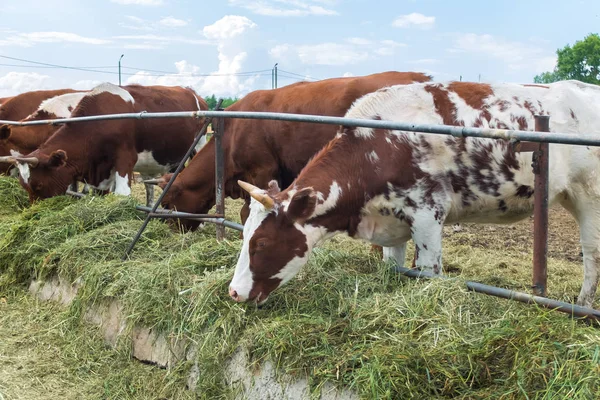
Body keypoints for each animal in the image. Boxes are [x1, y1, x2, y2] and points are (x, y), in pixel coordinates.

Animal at [12, 82, 209, 205]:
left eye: (38, 185)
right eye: (24, 186)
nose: (35, 213)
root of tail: (192, 92)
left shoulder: (125, 158)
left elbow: (122, 195)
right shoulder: (102, 170)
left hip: (199, 145)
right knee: (152, 186)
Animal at [227, 79, 600, 310]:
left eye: (261, 243)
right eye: (244, 235)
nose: (233, 292)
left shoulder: (427, 214)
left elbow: (429, 270)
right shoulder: (391, 221)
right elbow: (394, 266)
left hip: (590, 196)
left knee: (591, 253)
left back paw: (581, 307)